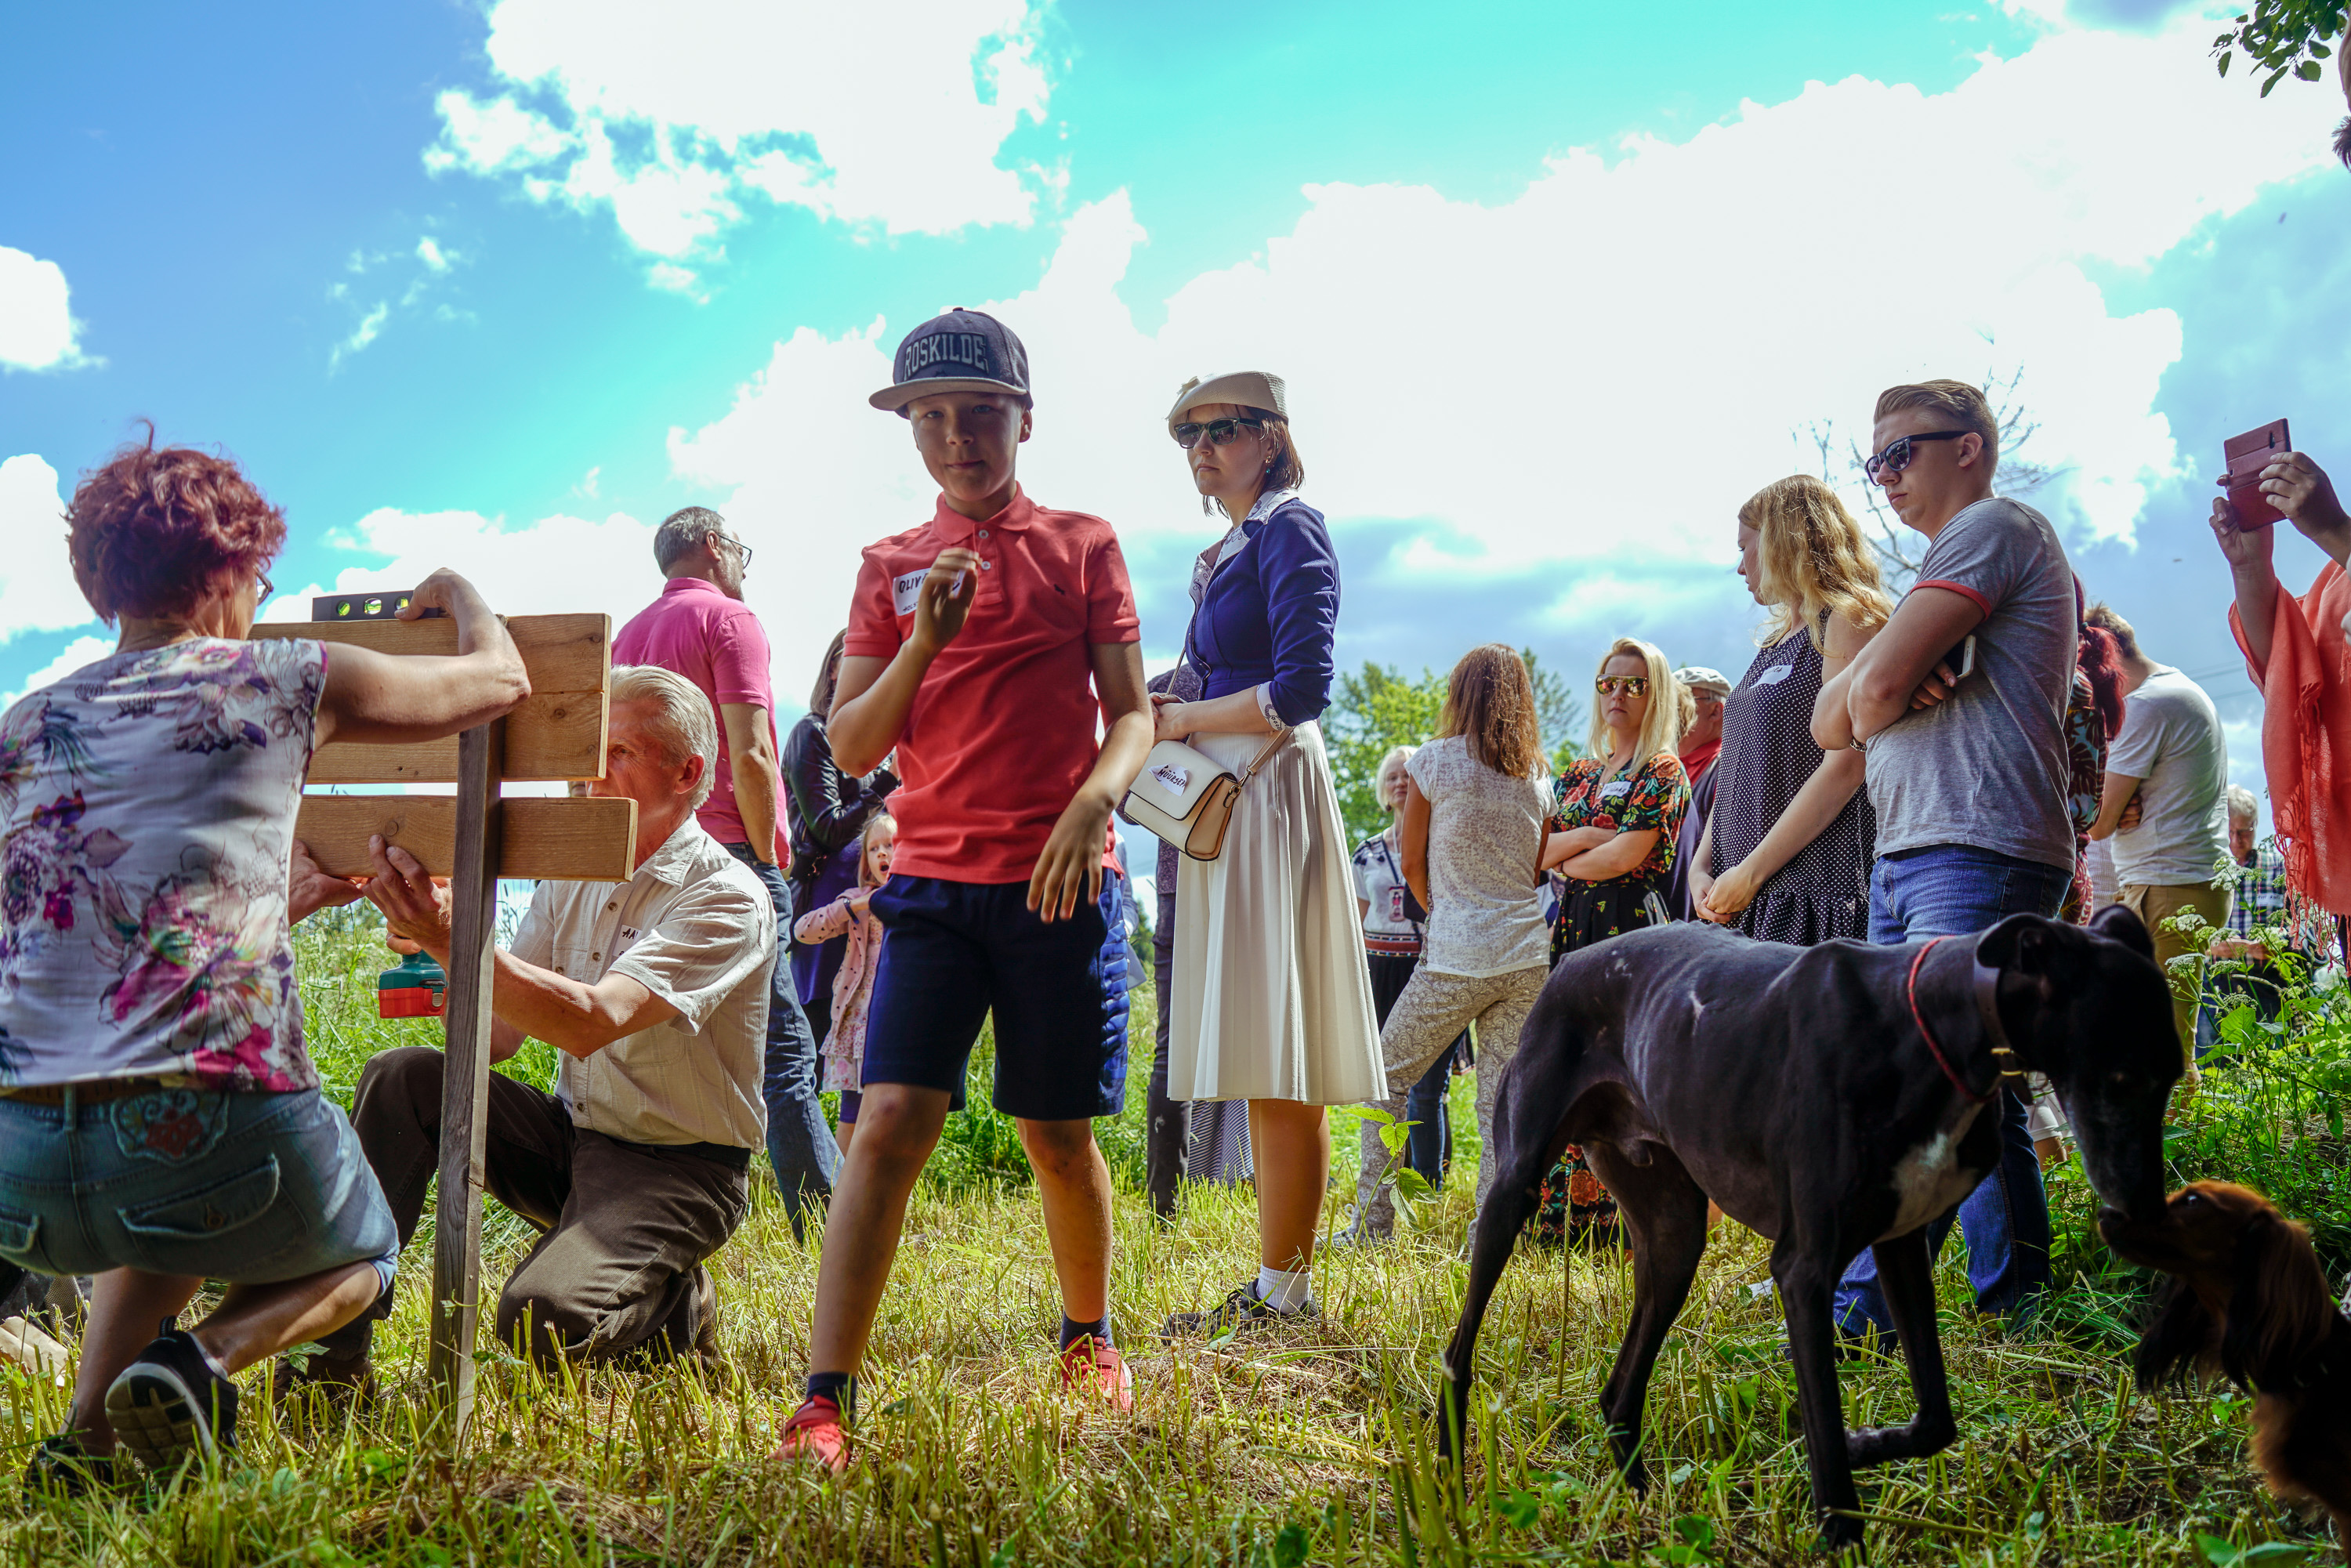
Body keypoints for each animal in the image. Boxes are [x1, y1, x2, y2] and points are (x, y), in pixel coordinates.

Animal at [1439, 905, 2180, 1551]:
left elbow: (1936, 1419)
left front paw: (1868, 1443)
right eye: (2123, 1075)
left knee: (1620, 1391)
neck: (1932, 1023)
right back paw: (1448, 1479)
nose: (2146, 1212)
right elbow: (1824, 1430)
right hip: (1512, 1192)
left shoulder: (1899, 1244)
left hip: (1673, 1237)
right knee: (1458, 1348)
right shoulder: (1804, 1269)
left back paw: (1647, 1503)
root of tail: (1568, 962)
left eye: (2170, 1071)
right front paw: (1841, 1518)